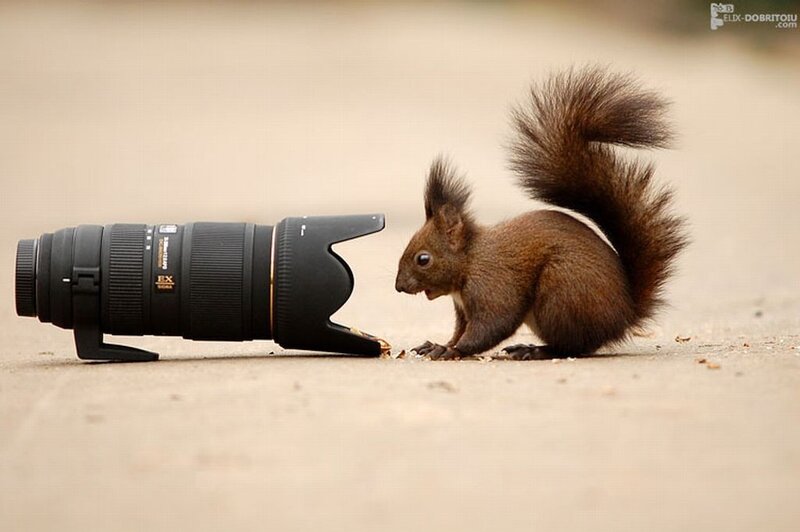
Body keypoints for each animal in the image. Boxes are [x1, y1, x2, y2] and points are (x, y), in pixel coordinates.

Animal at [394, 66, 688, 360]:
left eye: (423, 259)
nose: (399, 287)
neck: (470, 259)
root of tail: (625, 314)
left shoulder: (492, 284)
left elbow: (492, 325)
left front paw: (451, 350)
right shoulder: (463, 308)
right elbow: (461, 329)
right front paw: (439, 344)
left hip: (561, 292)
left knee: (572, 346)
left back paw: (534, 350)